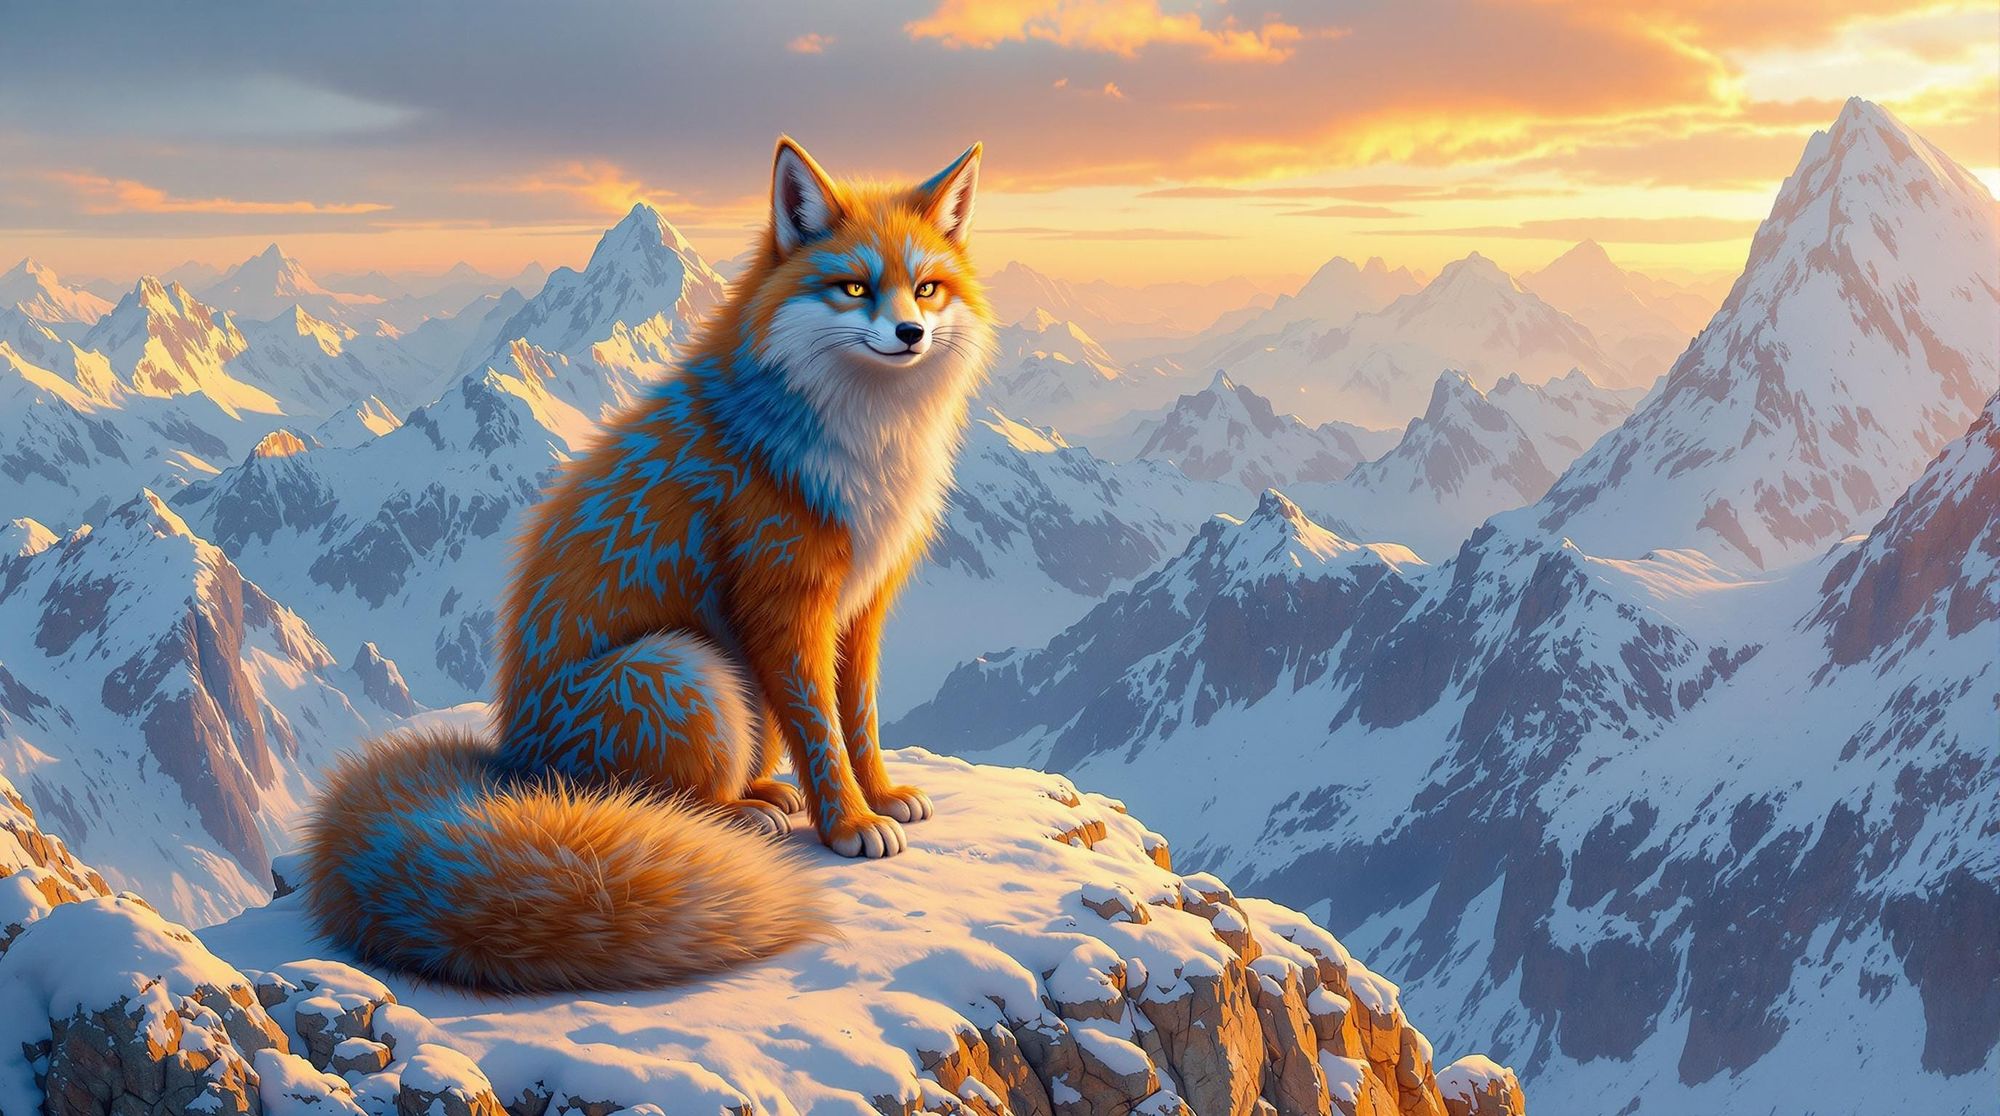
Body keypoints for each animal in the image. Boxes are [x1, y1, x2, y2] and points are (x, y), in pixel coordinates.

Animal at [300, 137, 996, 994]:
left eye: (927, 288)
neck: (865, 445)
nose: (910, 333)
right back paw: (745, 814)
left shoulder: (863, 606)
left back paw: (767, 793)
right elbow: (822, 731)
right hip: (691, 672)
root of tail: (510, 762)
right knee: (662, 806)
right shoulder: (786, 600)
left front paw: (882, 795)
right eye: (854, 287)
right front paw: (847, 824)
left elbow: (858, 719)